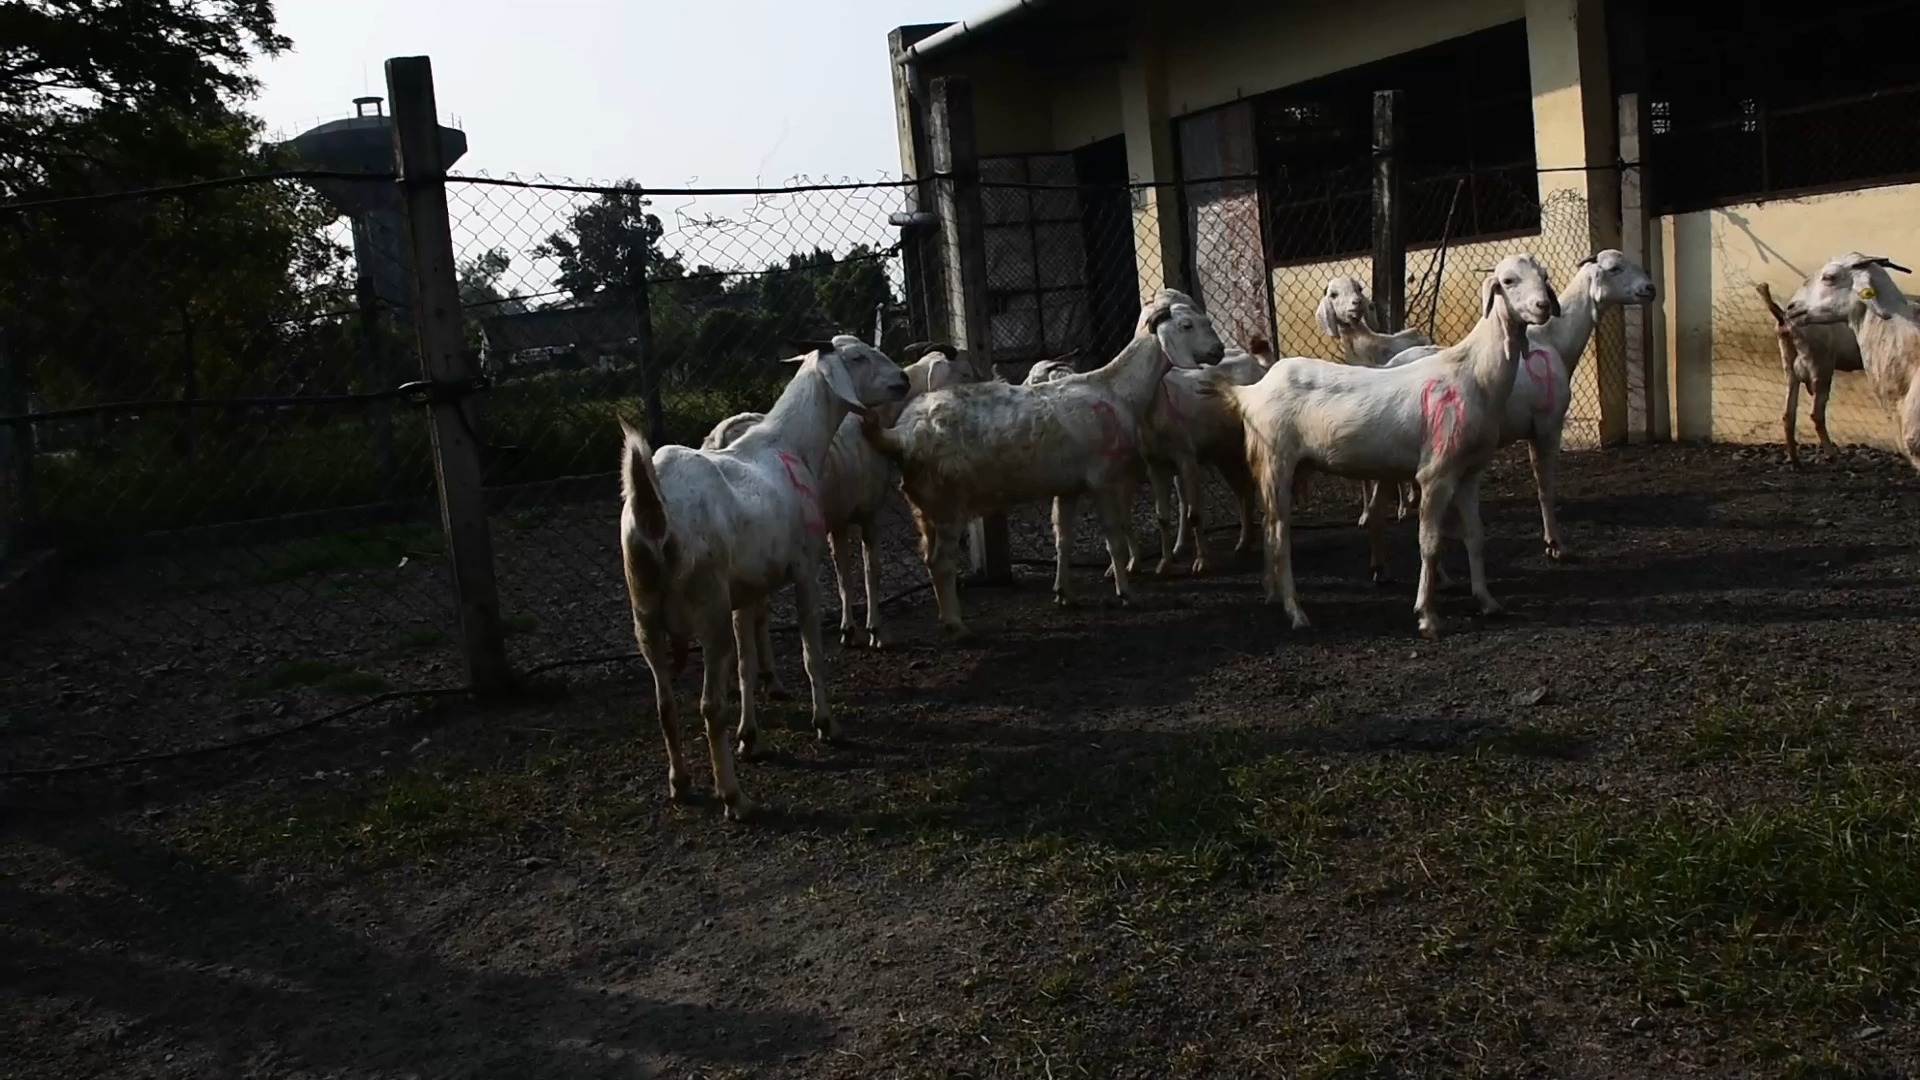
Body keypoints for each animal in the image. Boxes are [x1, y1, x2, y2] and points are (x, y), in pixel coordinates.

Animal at [619, 336, 910, 821]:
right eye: (856, 357)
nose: (903, 379)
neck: (788, 443)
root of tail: (652, 511)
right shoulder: (805, 568)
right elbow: (812, 654)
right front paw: (826, 724)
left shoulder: (747, 591)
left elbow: (747, 664)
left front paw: (751, 737)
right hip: (708, 609)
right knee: (709, 706)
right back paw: (735, 798)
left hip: (646, 618)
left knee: (665, 704)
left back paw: (681, 784)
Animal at [861, 297, 1227, 638]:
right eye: (1186, 326)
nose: (1219, 350)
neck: (1117, 389)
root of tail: (901, 434)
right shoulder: (1102, 479)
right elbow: (1114, 539)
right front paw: (1126, 594)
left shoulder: (1069, 487)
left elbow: (1063, 538)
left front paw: (1065, 593)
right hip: (949, 503)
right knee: (941, 563)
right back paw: (957, 626)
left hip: (925, 508)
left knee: (928, 558)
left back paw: (945, 617)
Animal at [1198, 254, 1559, 639]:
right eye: (1507, 281)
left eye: (1544, 277)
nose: (1543, 307)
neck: (1475, 374)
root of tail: (1251, 392)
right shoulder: (1435, 473)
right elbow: (1429, 544)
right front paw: (1427, 616)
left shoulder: (1468, 472)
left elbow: (1475, 537)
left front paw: (1488, 602)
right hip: (1275, 462)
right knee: (1280, 537)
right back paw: (1296, 612)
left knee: (1269, 528)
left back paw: (1273, 595)